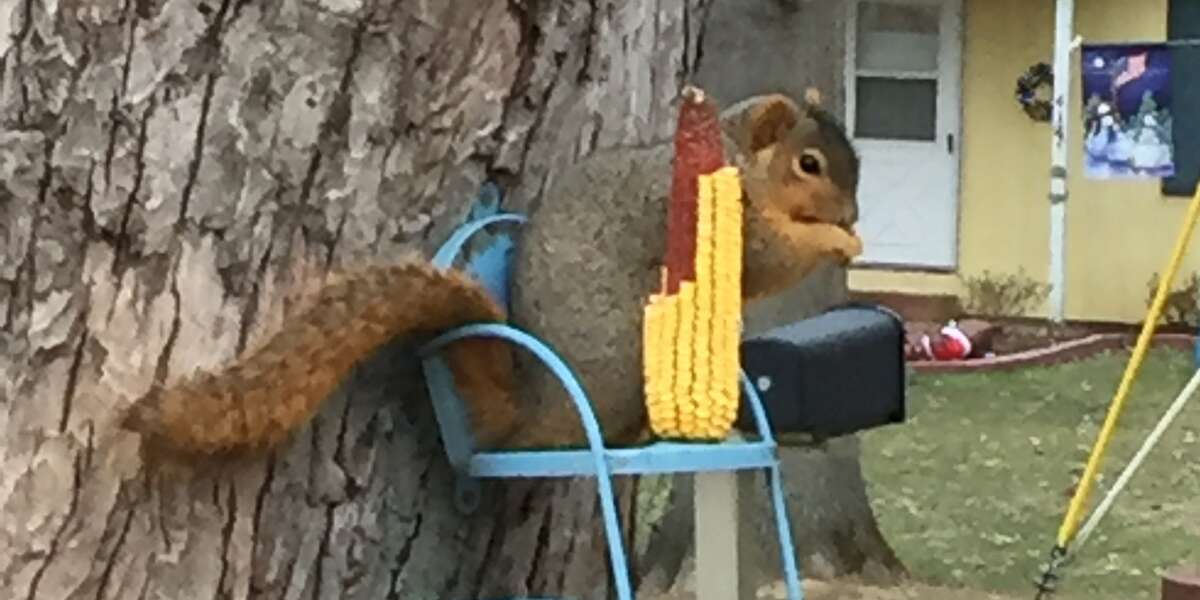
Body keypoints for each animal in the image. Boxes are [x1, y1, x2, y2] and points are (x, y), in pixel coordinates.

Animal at [119, 87, 863, 457]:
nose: (855, 211)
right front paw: (835, 239)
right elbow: (768, 256)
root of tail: (534, 413)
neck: (735, 159)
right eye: (809, 164)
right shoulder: (715, 216)